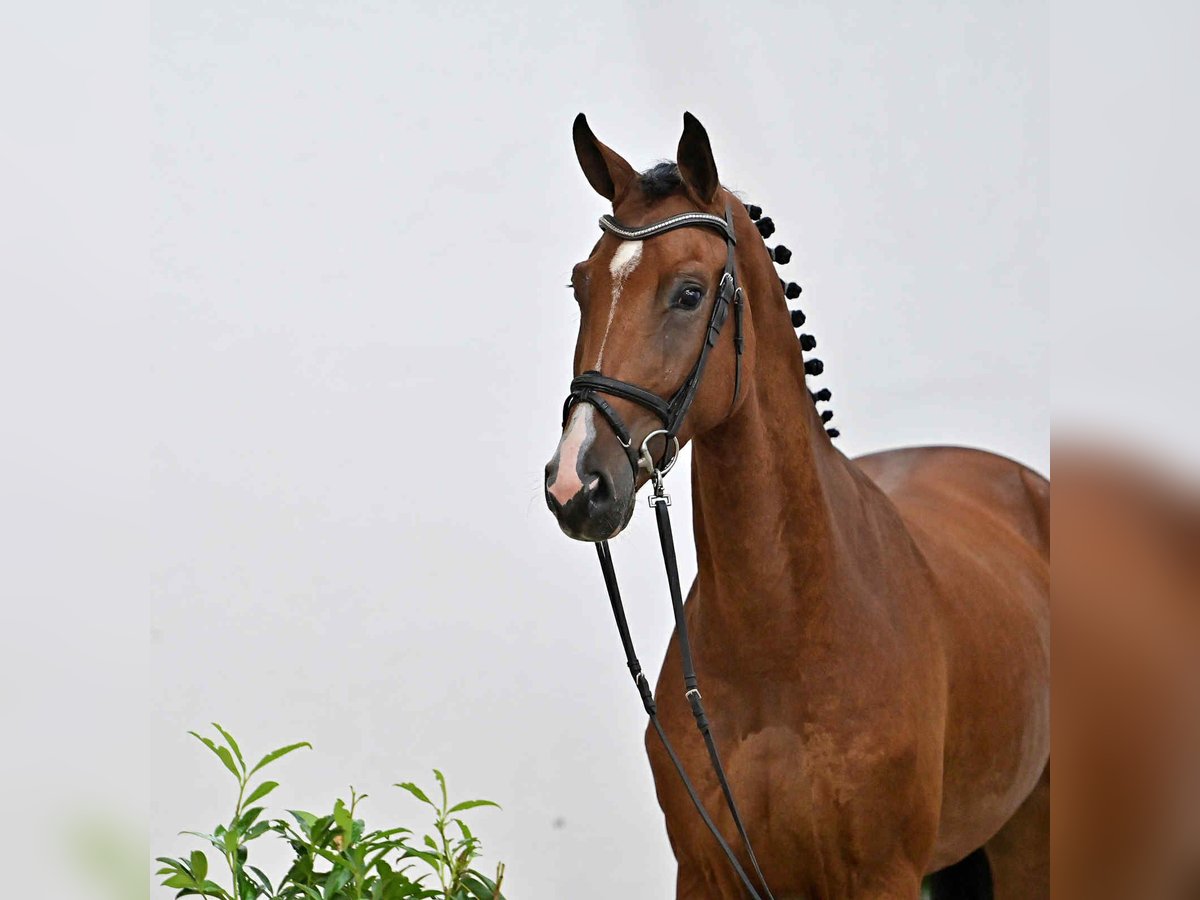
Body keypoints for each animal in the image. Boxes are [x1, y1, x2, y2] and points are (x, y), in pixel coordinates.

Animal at [543, 112, 1049, 899]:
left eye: (689, 293)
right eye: (580, 285)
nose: (576, 484)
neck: (782, 637)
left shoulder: (882, 878)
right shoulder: (706, 872)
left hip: (1031, 836)